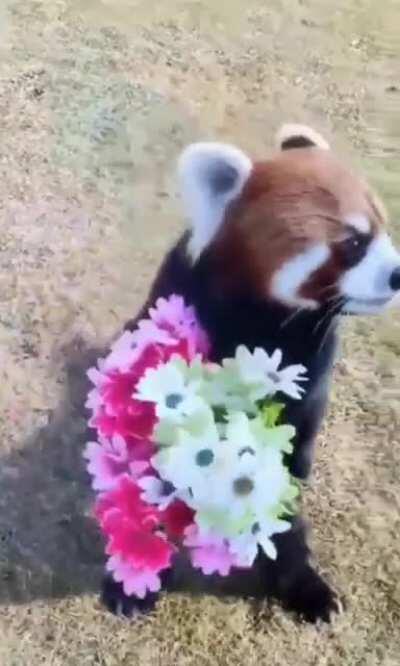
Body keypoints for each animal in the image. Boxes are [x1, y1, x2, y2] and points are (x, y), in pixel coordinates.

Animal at [102, 124, 400, 623]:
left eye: (382, 230)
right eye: (354, 243)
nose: (398, 275)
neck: (269, 320)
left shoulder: (311, 364)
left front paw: (303, 582)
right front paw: (136, 576)